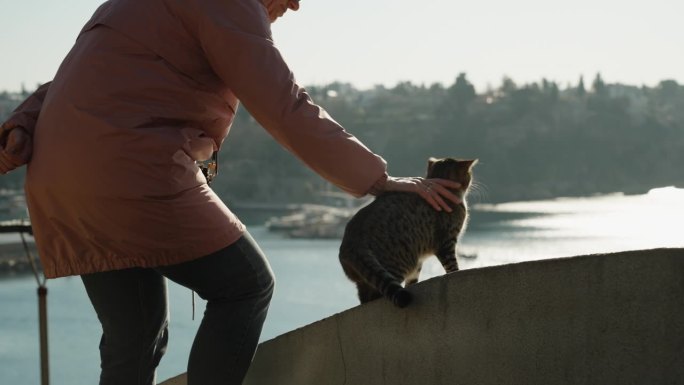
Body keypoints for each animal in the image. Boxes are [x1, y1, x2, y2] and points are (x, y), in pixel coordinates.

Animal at [338, 155, 476, 306]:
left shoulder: (419, 261)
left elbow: (413, 280)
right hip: (396, 264)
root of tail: (353, 243)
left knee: (365, 297)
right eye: (469, 174)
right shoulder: (447, 242)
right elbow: (452, 267)